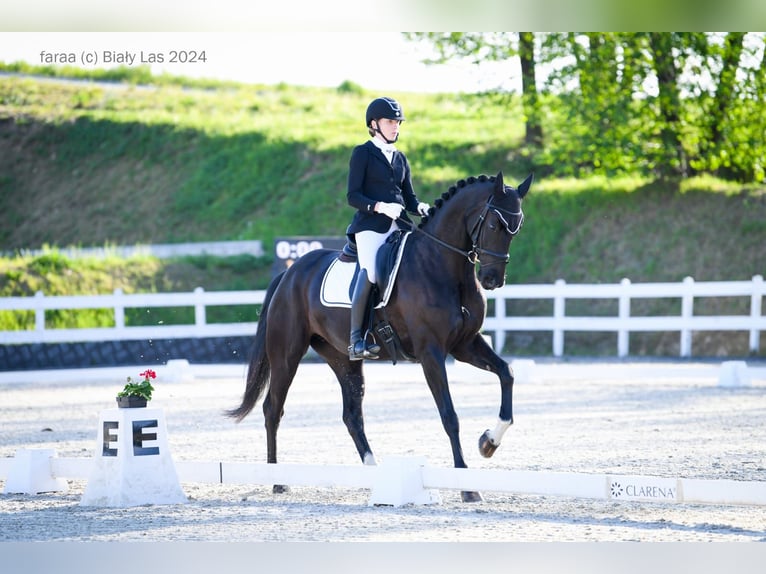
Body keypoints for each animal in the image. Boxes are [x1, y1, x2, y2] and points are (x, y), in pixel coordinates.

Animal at [227, 171, 533, 502]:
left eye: (517, 228)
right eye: (493, 225)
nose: (492, 280)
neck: (441, 265)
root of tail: (290, 273)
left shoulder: (465, 344)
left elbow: (507, 373)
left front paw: (489, 442)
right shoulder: (431, 352)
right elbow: (449, 415)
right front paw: (467, 487)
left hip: (343, 358)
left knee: (352, 415)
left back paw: (374, 474)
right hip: (286, 355)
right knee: (273, 408)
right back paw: (278, 480)